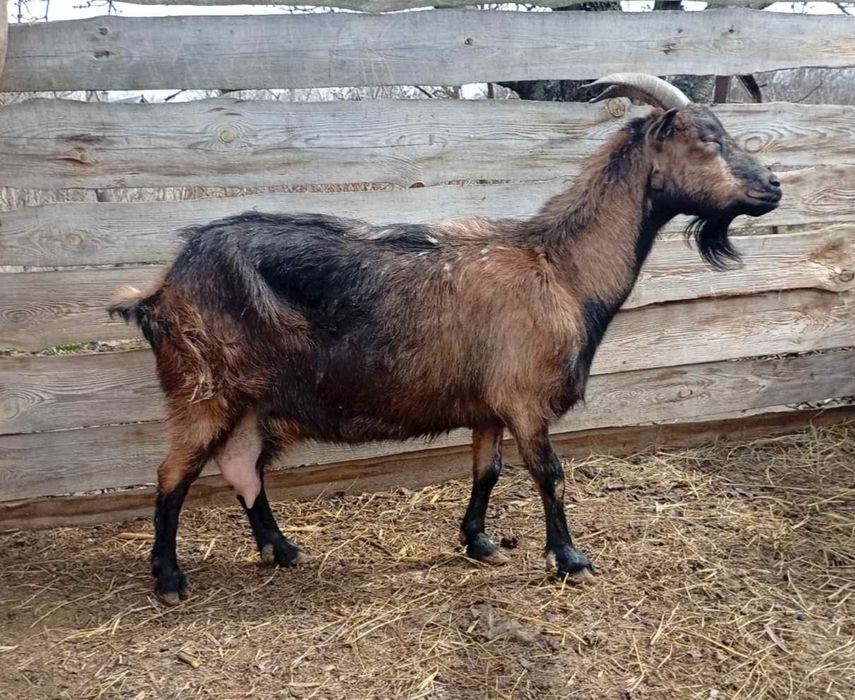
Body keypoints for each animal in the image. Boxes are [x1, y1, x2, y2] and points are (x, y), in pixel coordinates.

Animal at [110, 74, 782, 605]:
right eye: (708, 140)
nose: (773, 186)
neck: (561, 268)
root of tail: (161, 290)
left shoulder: (489, 405)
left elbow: (488, 470)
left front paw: (479, 541)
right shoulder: (525, 399)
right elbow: (549, 473)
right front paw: (569, 559)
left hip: (249, 401)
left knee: (243, 467)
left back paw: (283, 549)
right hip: (202, 390)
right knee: (172, 475)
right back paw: (169, 579)